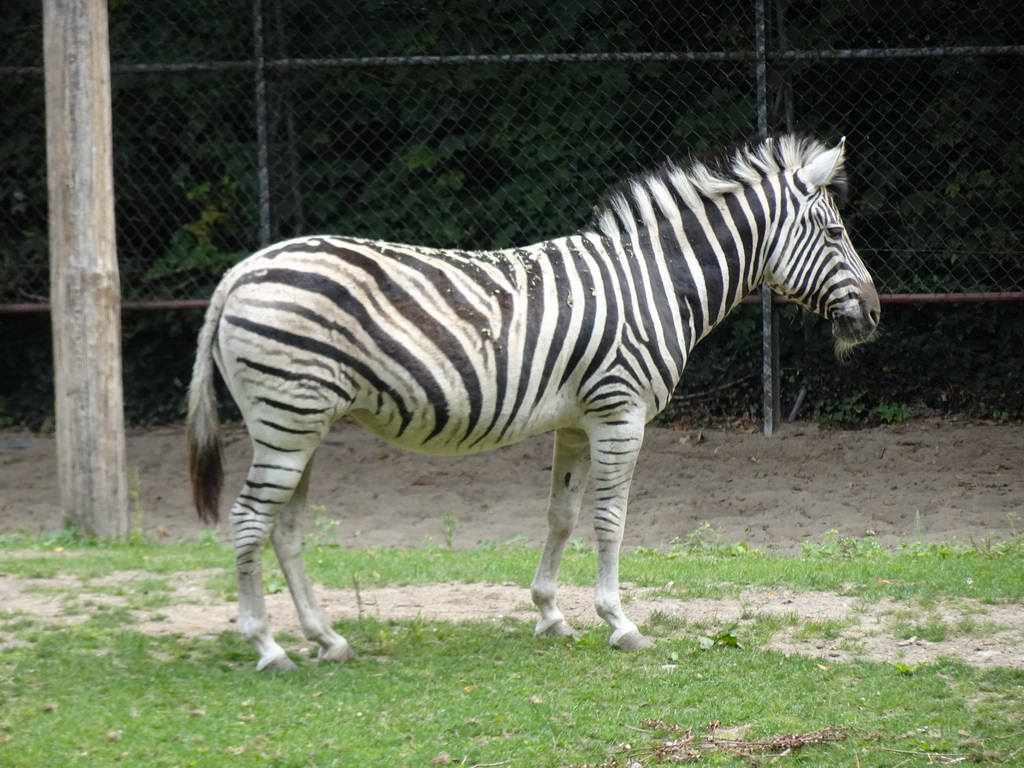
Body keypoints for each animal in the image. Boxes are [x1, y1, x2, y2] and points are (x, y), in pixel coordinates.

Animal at [190, 134, 880, 671]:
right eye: (834, 230)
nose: (875, 314)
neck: (657, 279)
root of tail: (238, 273)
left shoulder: (576, 422)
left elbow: (561, 516)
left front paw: (550, 614)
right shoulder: (620, 412)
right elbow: (610, 520)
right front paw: (620, 622)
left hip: (300, 423)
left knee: (285, 528)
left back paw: (325, 638)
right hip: (287, 418)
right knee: (248, 520)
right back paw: (268, 647)